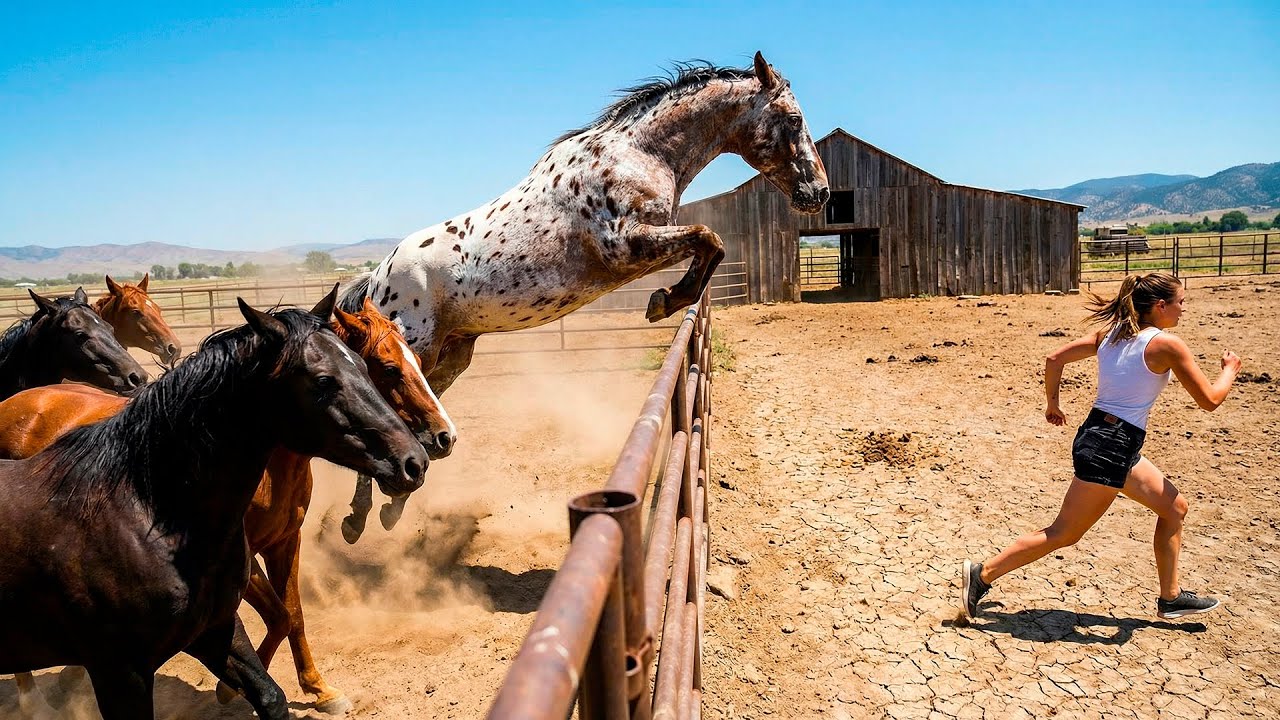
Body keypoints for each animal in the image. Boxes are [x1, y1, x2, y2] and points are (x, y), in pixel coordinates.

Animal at [337, 51, 829, 539]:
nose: (820, 193)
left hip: (448, 357)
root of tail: (377, 279)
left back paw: (389, 507)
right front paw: (664, 302)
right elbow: (710, 238)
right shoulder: (626, 247)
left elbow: (712, 245)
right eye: (793, 118)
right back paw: (358, 518)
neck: (640, 153)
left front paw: (667, 299)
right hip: (414, 350)